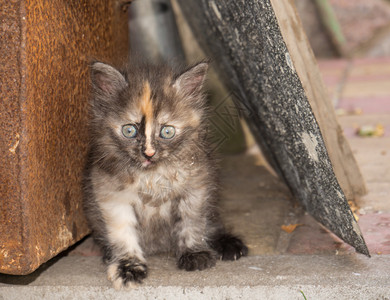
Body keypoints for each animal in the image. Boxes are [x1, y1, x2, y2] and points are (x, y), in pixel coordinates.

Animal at [82, 59, 248, 290]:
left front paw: (194, 253)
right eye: (129, 131)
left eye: (167, 132)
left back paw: (227, 244)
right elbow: (122, 232)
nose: (148, 153)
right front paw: (128, 266)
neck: (151, 174)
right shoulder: (110, 193)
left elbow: (192, 221)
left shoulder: (196, 186)